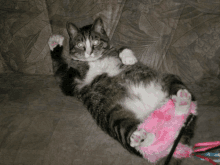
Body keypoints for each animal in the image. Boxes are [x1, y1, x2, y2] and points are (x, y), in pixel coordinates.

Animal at [47, 17, 196, 164]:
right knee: (141, 144)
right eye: (79, 44)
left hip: (168, 78)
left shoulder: (110, 50)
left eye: (95, 41)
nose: (89, 52)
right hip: (116, 119)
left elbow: (121, 47)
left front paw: (129, 58)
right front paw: (54, 43)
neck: (93, 61)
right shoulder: (70, 82)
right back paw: (142, 136)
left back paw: (182, 100)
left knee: (186, 111)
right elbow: (59, 69)